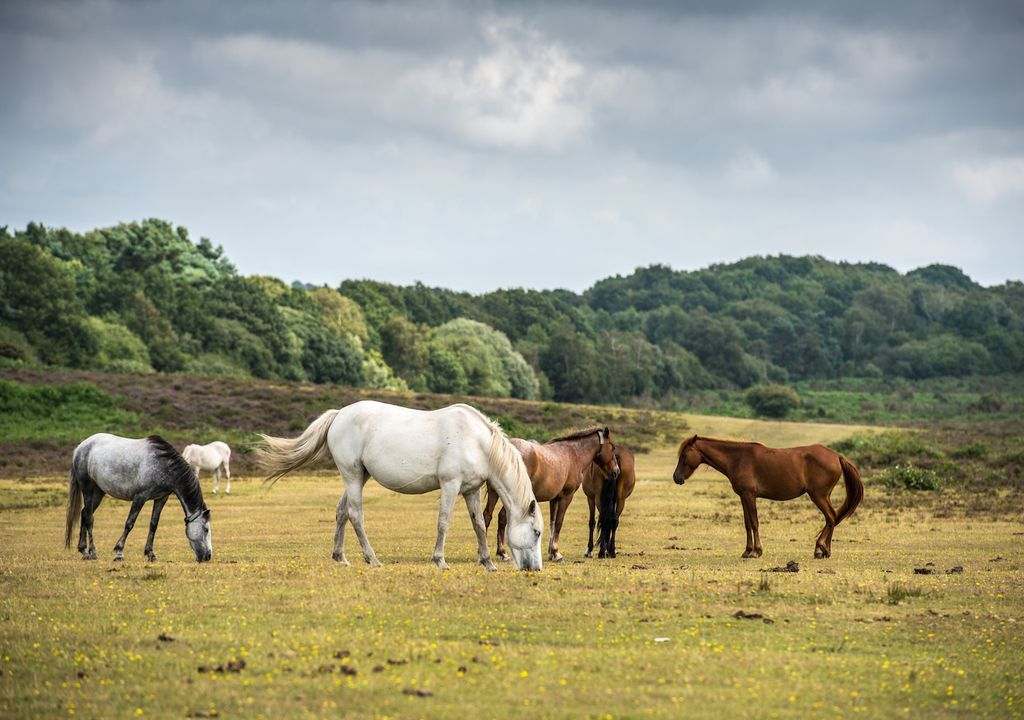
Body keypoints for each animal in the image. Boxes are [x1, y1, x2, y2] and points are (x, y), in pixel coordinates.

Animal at [65, 434, 212, 565]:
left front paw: (151, 554)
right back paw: (93, 553)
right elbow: (129, 523)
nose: (208, 556)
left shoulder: (161, 498)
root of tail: (80, 447)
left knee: (84, 514)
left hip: (98, 492)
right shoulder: (140, 497)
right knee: (89, 518)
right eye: (206, 529)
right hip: (88, 489)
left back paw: (84, 551)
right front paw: (119, 553)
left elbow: (153, 525)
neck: (163, 464)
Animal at [256, 403, 544, 573]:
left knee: (341, 512)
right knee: (355, 515)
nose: (536, 568)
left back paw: (341, 557)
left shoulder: (470, 490)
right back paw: (372, 558)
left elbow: (479, 525)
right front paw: (440, 560)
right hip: (352, 475)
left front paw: (487, 562)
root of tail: (339, 414)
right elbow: (444, 522)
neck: (477, 441)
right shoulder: (450, 486)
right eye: (537, 532)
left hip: (359, 477)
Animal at [483, 428, 618, 565]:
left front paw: (551, 553)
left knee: (488, 516)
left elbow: (552, 524)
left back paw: (499, 553)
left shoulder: (554, 499)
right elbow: (559, 523)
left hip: (494, 493)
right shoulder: (566, 497)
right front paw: (556, 553)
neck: (574, 455)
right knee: (502, 517)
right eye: (612, 447)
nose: (616, 471)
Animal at [671, 436, 864, 561]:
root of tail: (837, 456)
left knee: (831, 517)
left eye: (684, 455)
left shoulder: (749, 495)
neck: (738, 458)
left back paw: (820, 549)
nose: (676, 478)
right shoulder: (743, 497)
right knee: (832, 518)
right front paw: (747, 551)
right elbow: (747, 523)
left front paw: (756, 552)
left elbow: (754, 522)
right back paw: (825, 550)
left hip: (818, 495)